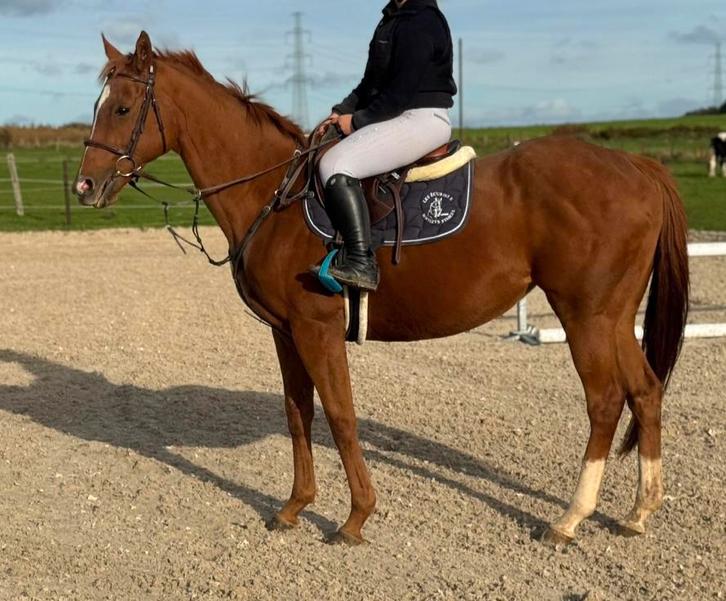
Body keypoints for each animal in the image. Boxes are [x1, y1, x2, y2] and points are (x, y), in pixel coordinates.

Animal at [75, 31, 689, 546]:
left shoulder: (316, 330)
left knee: (605, 401)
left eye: (122, 108)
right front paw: (294, 507)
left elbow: (340, 415)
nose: (85, 186)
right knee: (645, 390)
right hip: (613, 317)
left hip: (584, 316)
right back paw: (639, 512)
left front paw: (355, 518)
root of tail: (634, 164)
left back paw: (569, 519)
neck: (275, 198)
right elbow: (298, 414)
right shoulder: (285, 333)